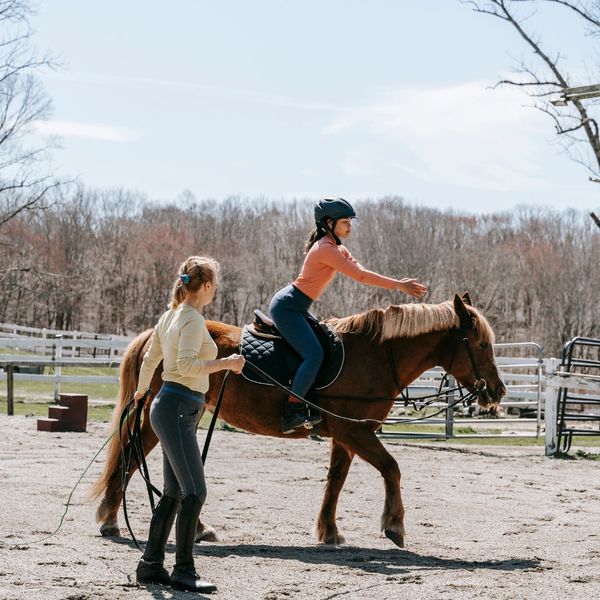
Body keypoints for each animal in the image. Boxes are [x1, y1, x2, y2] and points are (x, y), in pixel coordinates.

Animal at [91, 292, 504, 552]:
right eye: (480, 344)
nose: (497, 390)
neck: (374, 354)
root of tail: (157, 332)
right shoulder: (355, 431)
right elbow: (392, 467)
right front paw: (394, 525)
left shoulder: (345, 433)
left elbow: (336, 481)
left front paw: (329, 531)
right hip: (153, 418)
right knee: (130, 457)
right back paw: (110, 519)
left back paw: (198, 527)